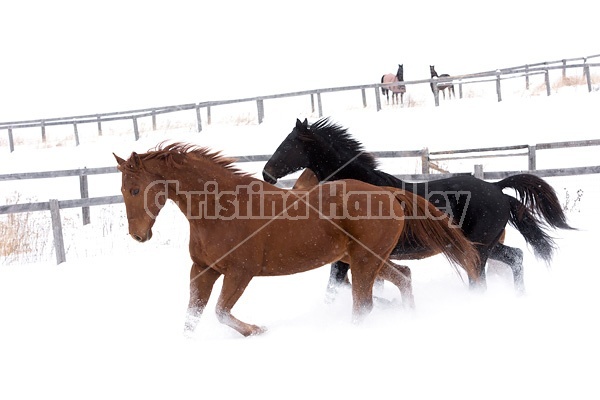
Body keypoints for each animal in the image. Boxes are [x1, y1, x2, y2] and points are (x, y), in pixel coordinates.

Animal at [264, 117, 576, 296]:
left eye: (287, 144)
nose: (267, 174)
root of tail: (497, 188)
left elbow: (339, 287)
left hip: (478, 249)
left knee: (483, 277)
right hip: (486, 245)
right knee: (516, 257)